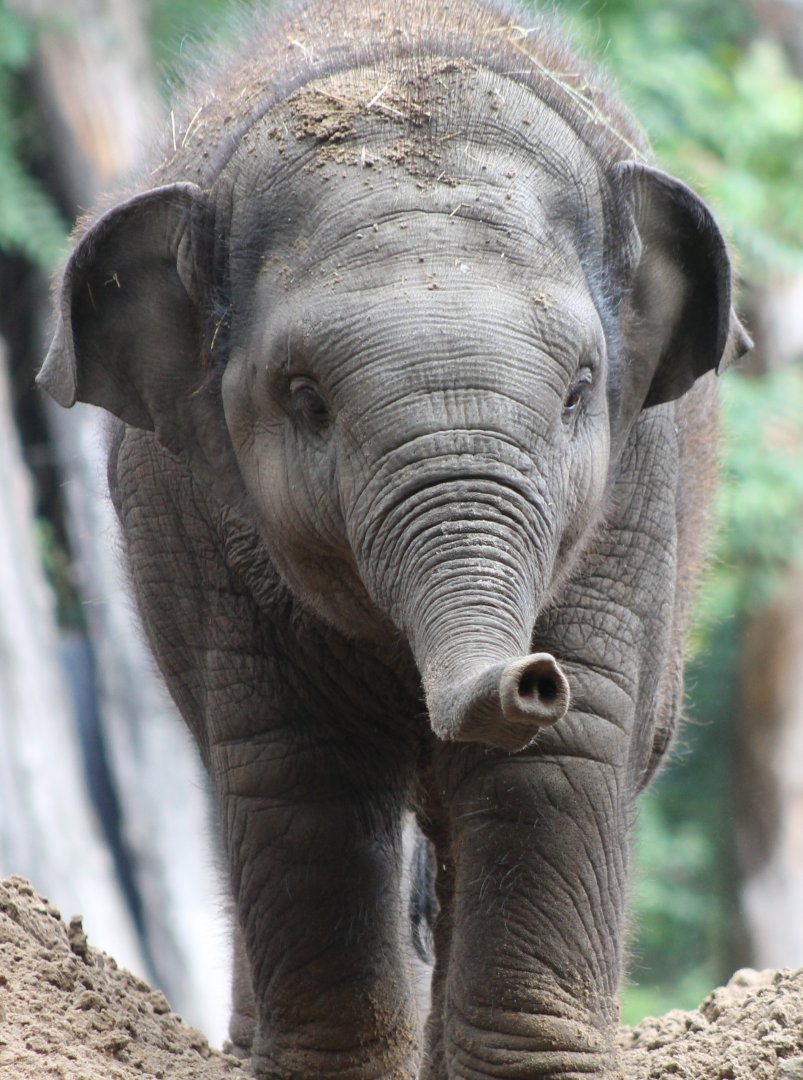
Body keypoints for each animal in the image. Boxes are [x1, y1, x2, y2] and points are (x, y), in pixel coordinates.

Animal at [39, 0, 751, 1076]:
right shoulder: (196, 522)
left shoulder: (634, 495)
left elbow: (561, 758)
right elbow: (299, 776)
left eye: (579, 391)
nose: (528, 676)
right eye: (305, 400)